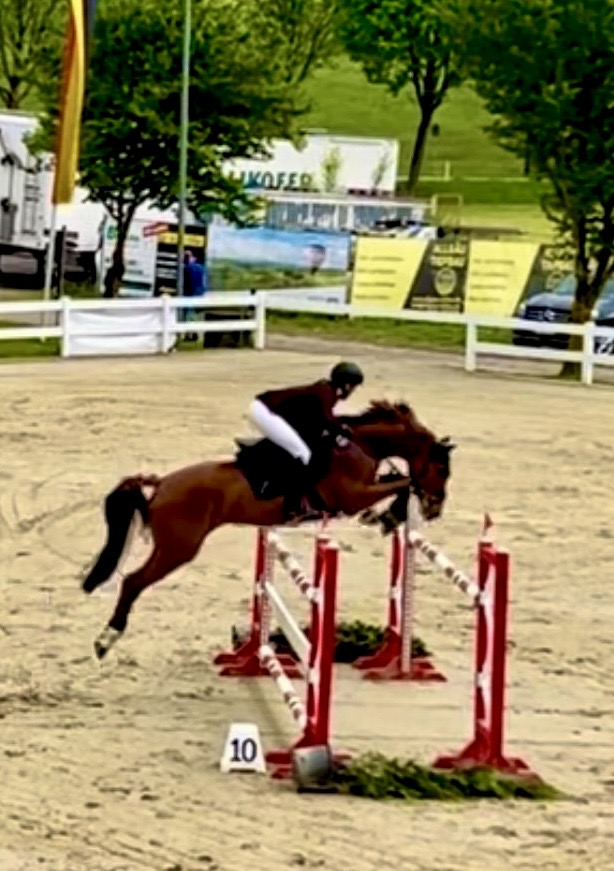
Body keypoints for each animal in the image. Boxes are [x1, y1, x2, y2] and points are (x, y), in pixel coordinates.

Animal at [81, 400, 455, 659]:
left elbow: (400, 481)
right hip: (179, 549)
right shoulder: (351, 497)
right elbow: (404, 483)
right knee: (133, 582)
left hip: (171, 547)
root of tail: (159, 485)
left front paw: (389, 516)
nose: (435, 509)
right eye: (441, 468)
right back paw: (105, 640)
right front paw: (389, 515)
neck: (358, 444)